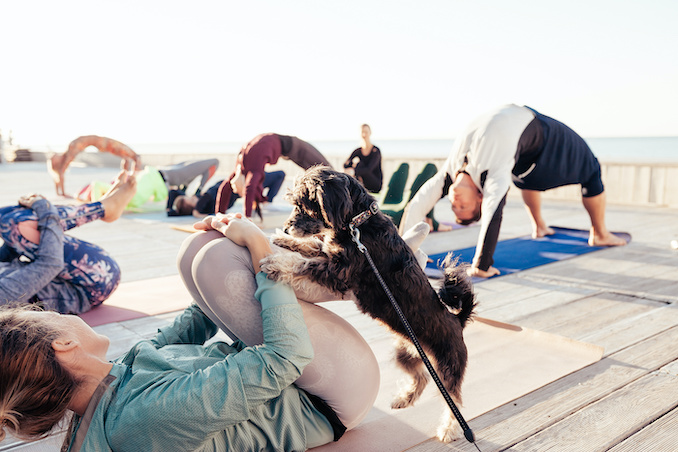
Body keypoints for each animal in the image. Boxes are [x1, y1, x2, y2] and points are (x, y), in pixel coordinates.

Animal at [260, 166, 478, 442]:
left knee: (454, 401)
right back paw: (404, 399)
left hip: (447, 369)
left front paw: (275, 264)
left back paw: (448, 430)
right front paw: (283, 241)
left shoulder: (339, 272)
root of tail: (458, 321)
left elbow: (303, 264)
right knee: (421, 377)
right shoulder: (330, 254)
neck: (358, 223)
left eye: (304, 205)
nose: (287, 229)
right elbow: (314, 245)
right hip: (405, 354)